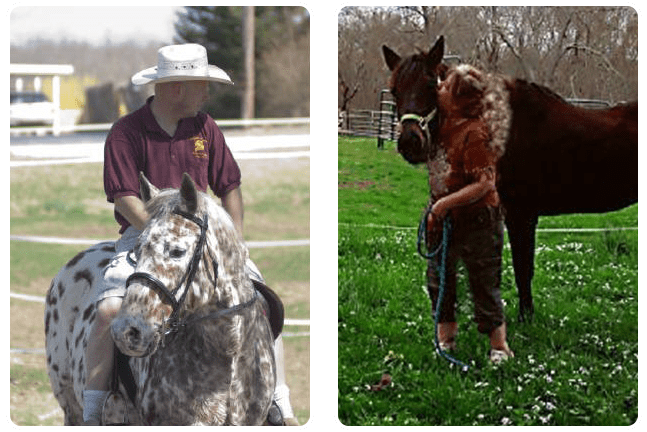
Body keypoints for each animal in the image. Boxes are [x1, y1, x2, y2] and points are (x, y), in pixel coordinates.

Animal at [382, 36, 640, 320]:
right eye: (394, 90)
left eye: (431, 85)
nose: (410, 142)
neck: (502, 129)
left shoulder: (522, 214)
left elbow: (523, 269)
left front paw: (525, 318)